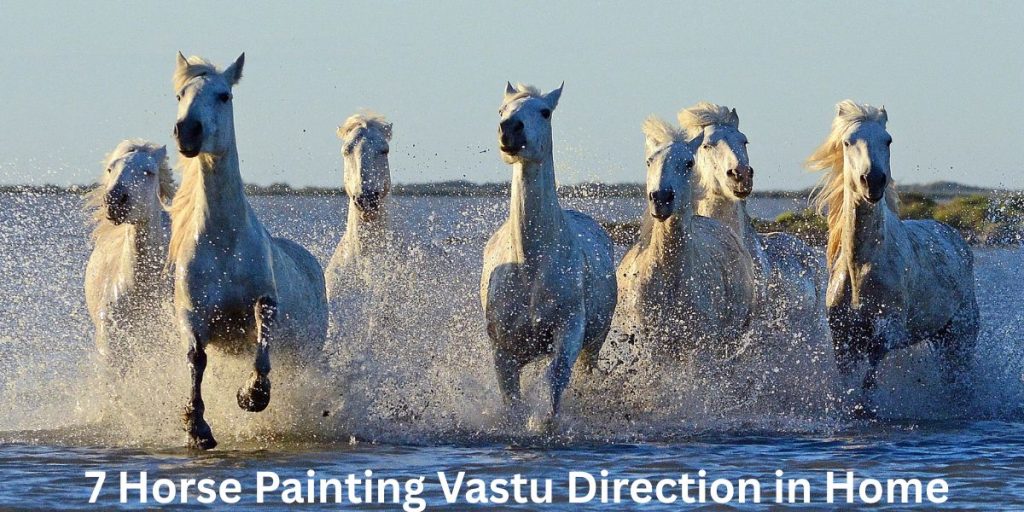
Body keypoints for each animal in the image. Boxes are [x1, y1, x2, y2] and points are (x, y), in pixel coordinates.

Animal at [170, 52, 328, 449]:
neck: (223, 242)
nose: (188, 131)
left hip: (308, 351)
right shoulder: (192, 314)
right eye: (180, 94)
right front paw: (197, 428)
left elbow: (262, 339)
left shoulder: (265, 300)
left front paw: (252, 395)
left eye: (224, 95)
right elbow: (196, 358)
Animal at [481, 82, 617, 428]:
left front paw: (544, 424)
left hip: (594, 342)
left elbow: (555, 379)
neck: (531, 266)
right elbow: (511, 397)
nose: (509, 130)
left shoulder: (568, 331)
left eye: (545, 112)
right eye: (501, 110)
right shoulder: (502, 347)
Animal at [617, 116, 757, 357]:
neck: (670, 276)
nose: (661, 198)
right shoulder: (651, 346)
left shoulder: (700, 347)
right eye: (649, 162)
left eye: (689, 163)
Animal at [808, 100, 979, 415]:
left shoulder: (888, 330)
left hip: (960, 336)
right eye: (847, 142)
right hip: (938, 338)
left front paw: (866, 409)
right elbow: (848, 381)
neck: (861, 268)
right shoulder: (842, 338)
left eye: (888, 140)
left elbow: (870, 374)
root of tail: (956, 238)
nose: (873, 181)